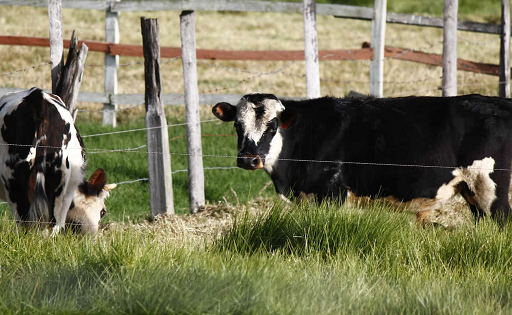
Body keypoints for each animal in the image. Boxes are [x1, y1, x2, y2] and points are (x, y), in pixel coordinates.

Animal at [213, 92, 512, 226]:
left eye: (272, 126)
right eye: (237, 125)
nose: (248, 160)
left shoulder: (331, 194)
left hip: (491, 189)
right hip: (473, 192)